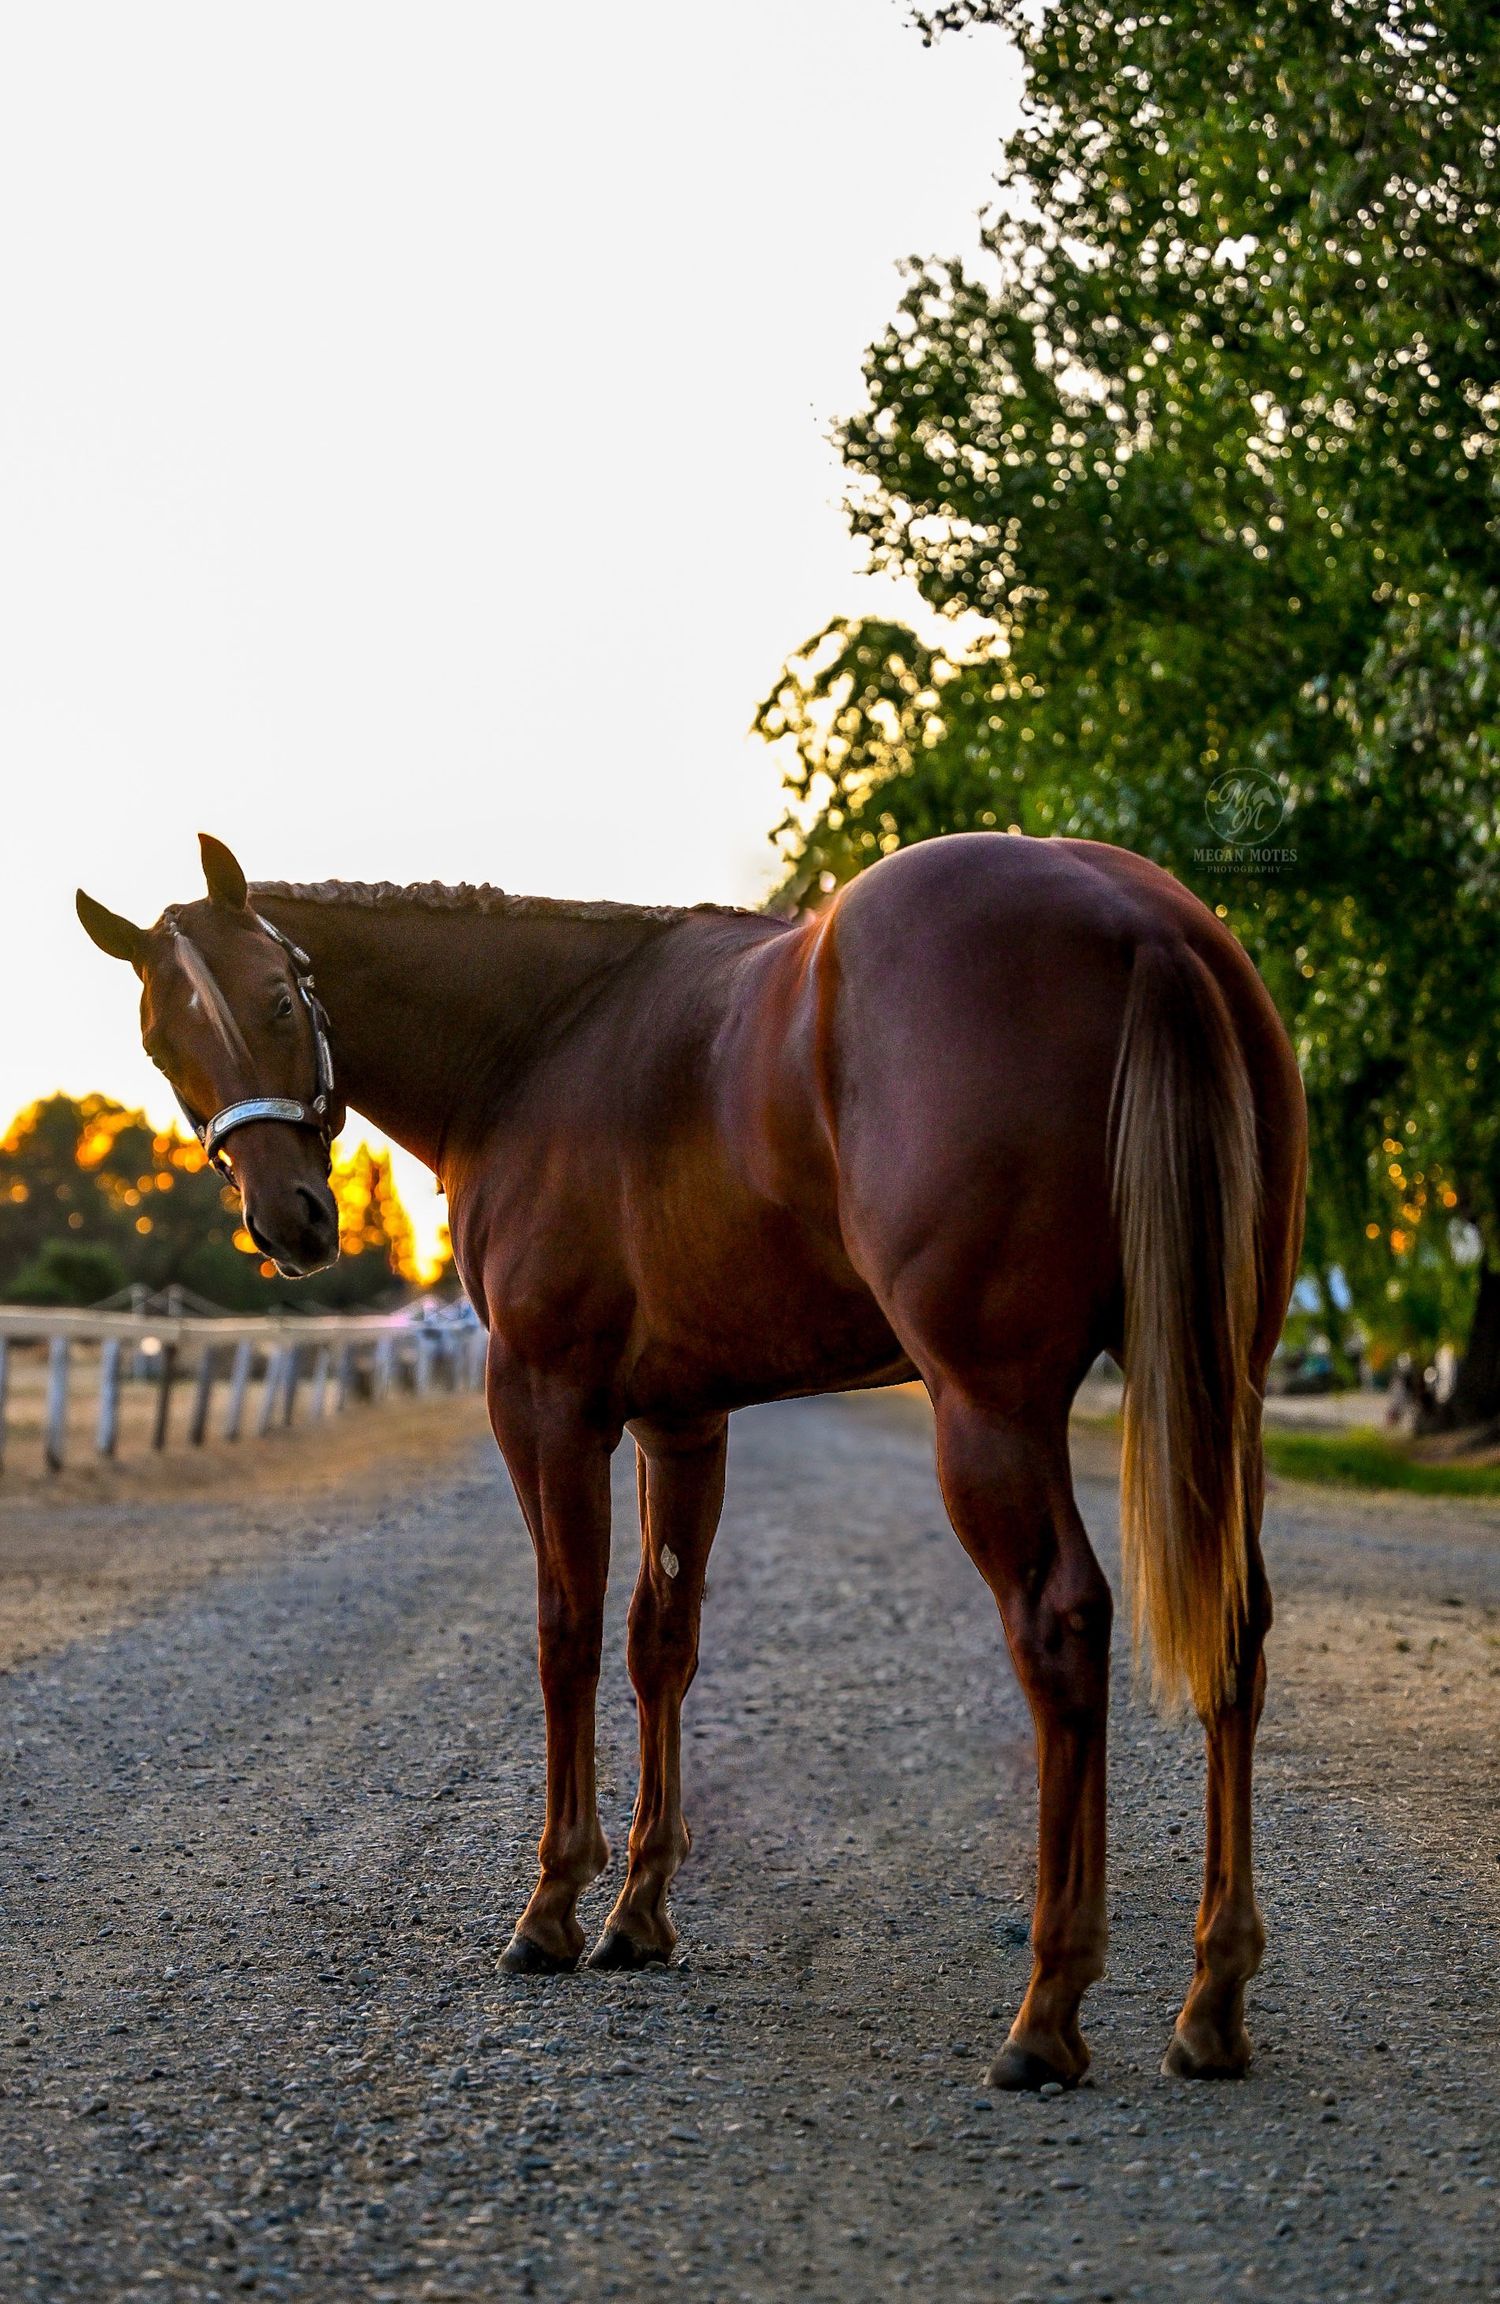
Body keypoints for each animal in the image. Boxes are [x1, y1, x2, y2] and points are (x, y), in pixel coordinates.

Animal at [78, 828, 1305, 2091]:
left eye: (279, 998)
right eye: (163, 1045)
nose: (291, 1223)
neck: (540, 1041)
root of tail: (1137, 918)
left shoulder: (544, 1402)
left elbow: (565, 1633)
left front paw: (553, 1906)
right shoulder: (683, 1422)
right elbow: (659, 1641)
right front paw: (639, 1912)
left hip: (992, 1410)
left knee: (1061, 1624)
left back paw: (1049, 2008)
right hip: (1225, 1389)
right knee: (1236, 1628)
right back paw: (1212, 2001)